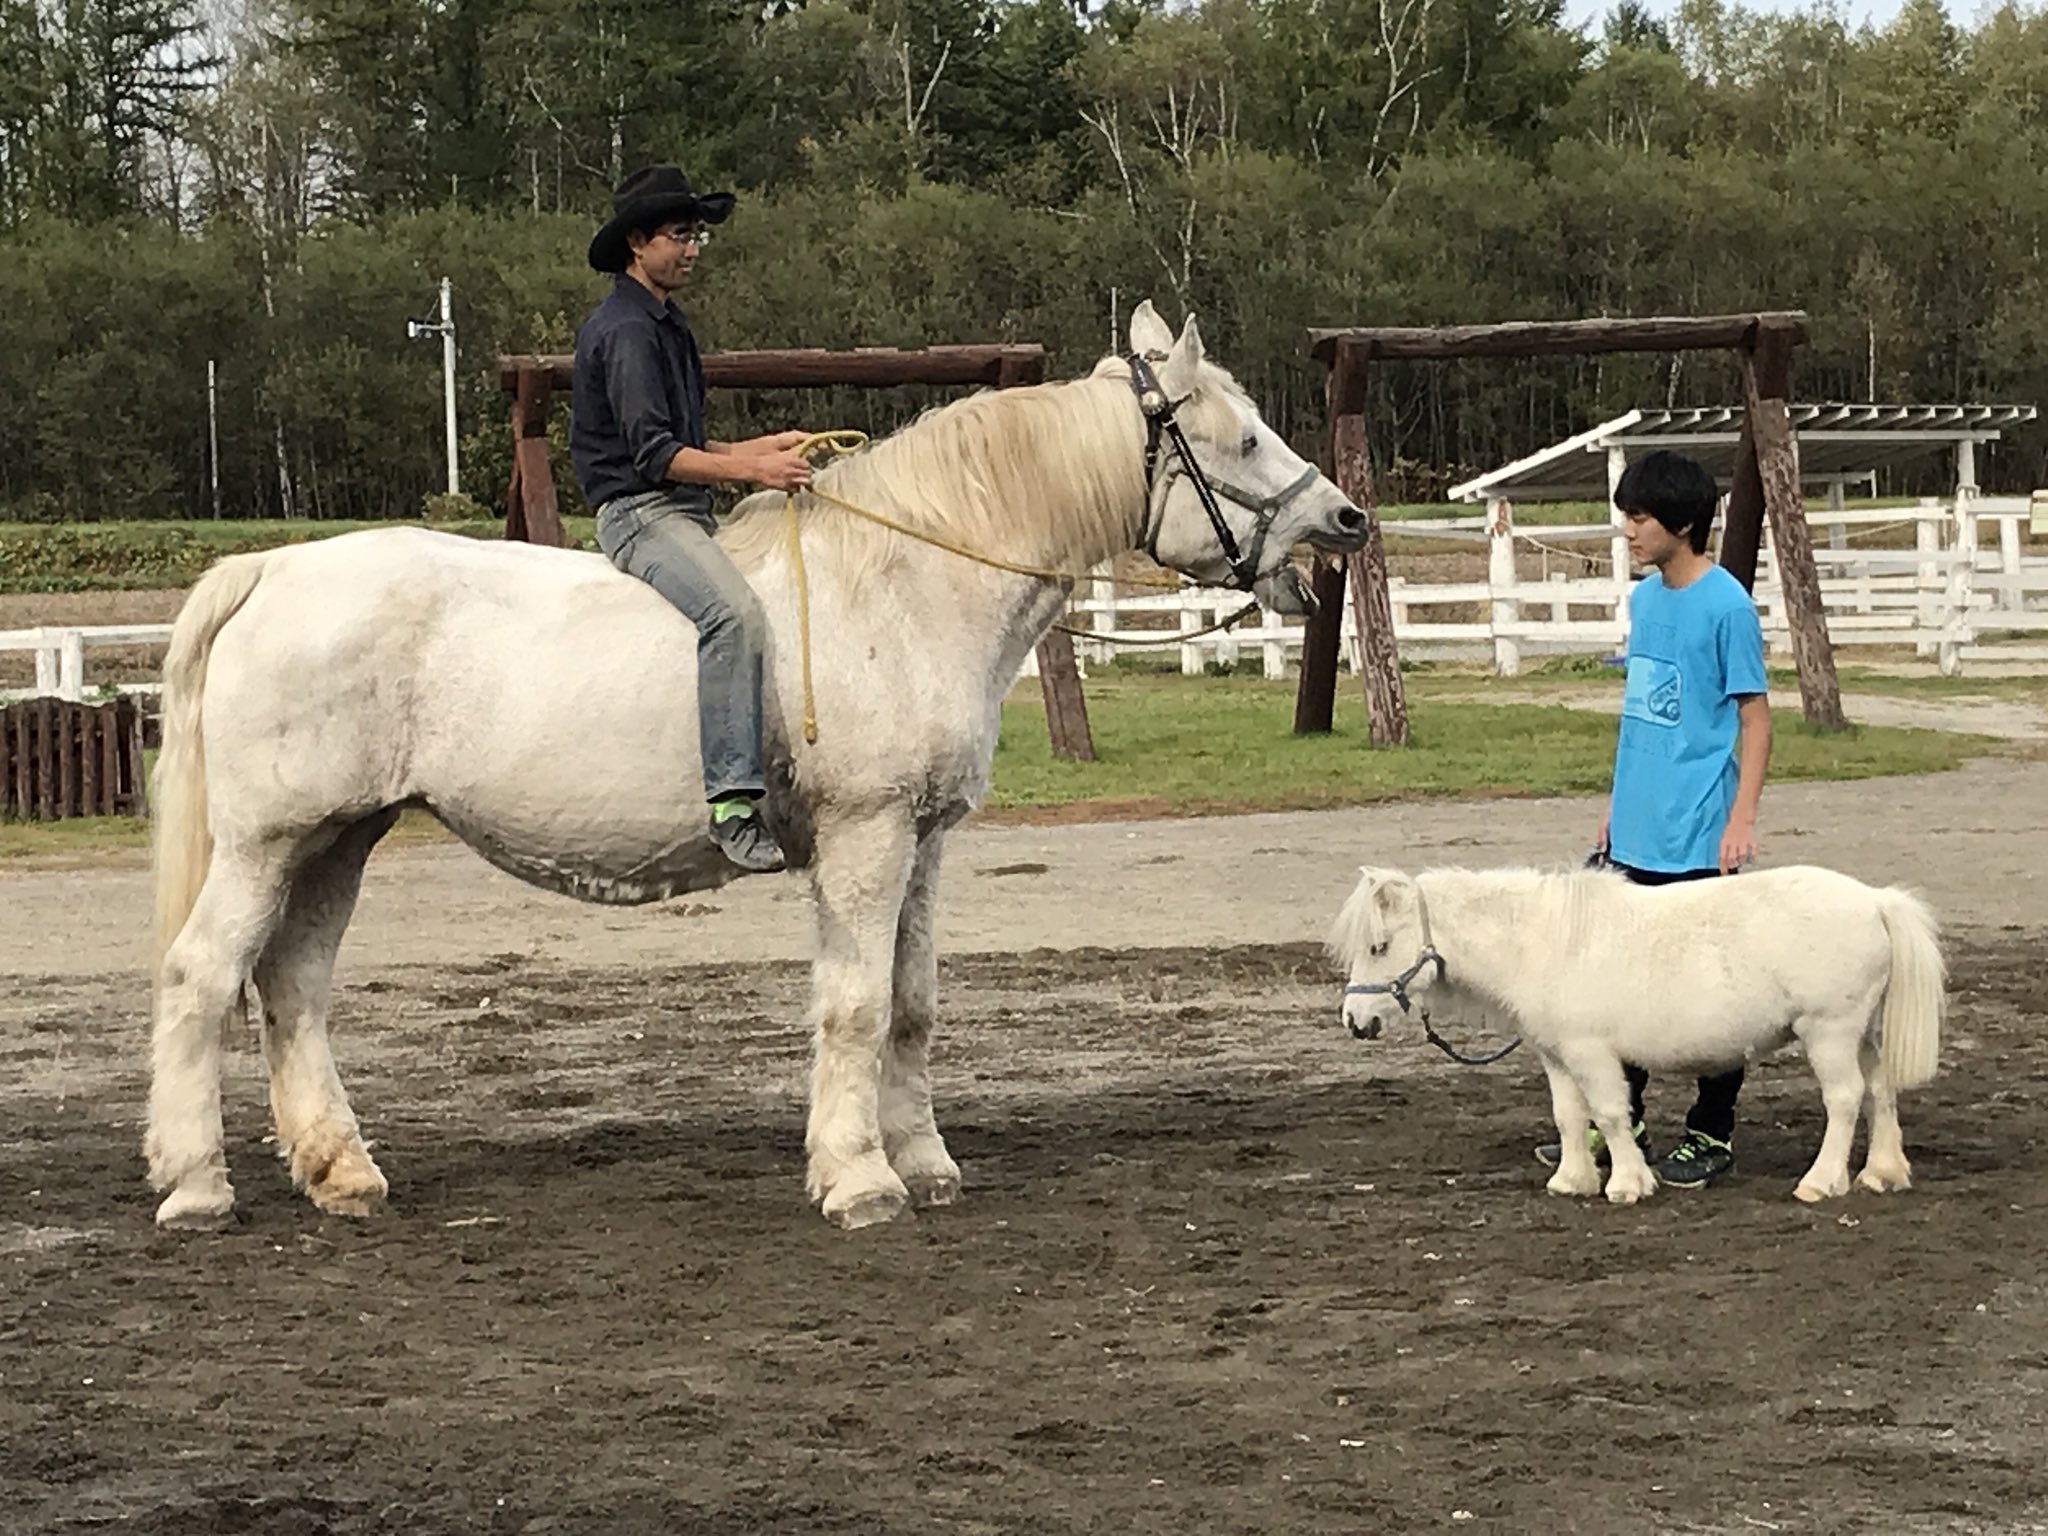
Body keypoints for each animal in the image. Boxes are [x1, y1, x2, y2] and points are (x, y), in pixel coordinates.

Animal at [148, 301, 1376, 1236]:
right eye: (1241, 439)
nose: (1348, 518)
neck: (906, 582)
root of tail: (273, 570)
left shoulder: (923, 841)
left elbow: (911, 1004)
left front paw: (921, 1160)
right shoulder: (866, 839)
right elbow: (854, 1006)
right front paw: (861, 1179)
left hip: (338, 839)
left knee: (292, 989)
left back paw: (340, 1172)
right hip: (265, 844)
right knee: (203, 979)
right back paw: (197, 1185)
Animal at [1327, 868, 1949, 1204]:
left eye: (1380, 945)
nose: (1356, 1022)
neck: (1542, 942)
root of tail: (1876, 900)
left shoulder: (1591, 1053)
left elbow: (1608, 1114)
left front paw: (1627, 1183)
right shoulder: (1556, 1055)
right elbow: (1568, 1116)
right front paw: (1572, 1179)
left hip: (1830, 1032)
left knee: (1844, 1101)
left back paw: (1821, 1182)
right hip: (1864, 1034)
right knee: (1880, 1094)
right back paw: (1882, 1173)